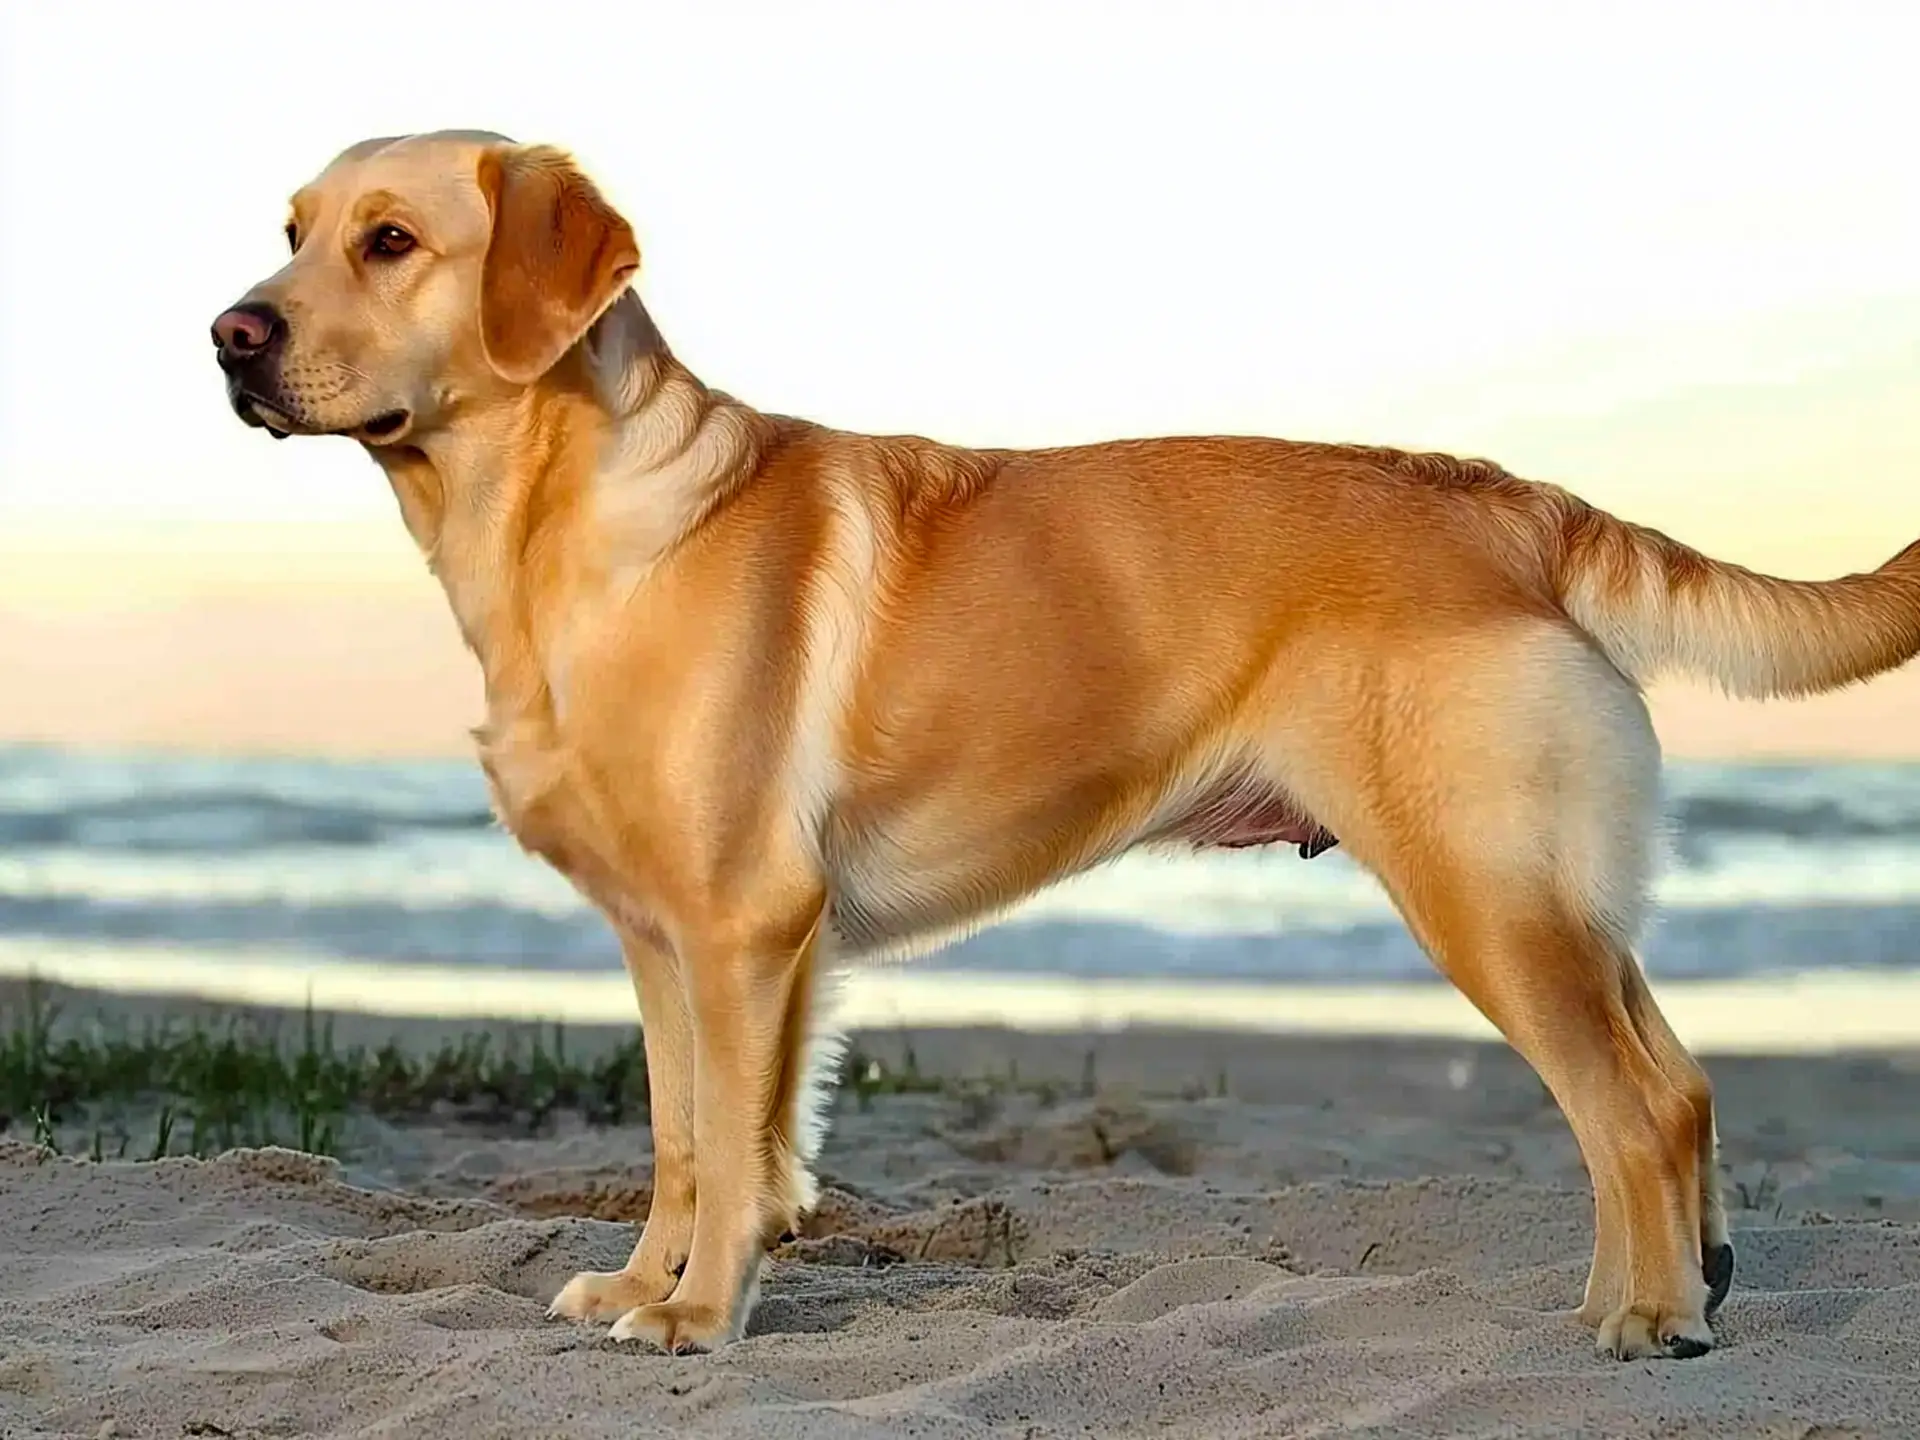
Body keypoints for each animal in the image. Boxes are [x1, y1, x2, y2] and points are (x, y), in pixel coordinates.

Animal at [210, 129, 1920, 1359]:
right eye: (289, 227)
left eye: (389, 240)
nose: (229, 333)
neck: (559, 520)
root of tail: (1515, 502)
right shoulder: (664, 939)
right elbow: (688, 1142)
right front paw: (641, 1286)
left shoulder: (744, 928)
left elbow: (736, 1155)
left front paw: (696, 1315)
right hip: (1559, 902)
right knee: (1679, 1086)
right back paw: (1661, 1293)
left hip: (1486, 894)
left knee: (1636, 1109)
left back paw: (1647, 1319)